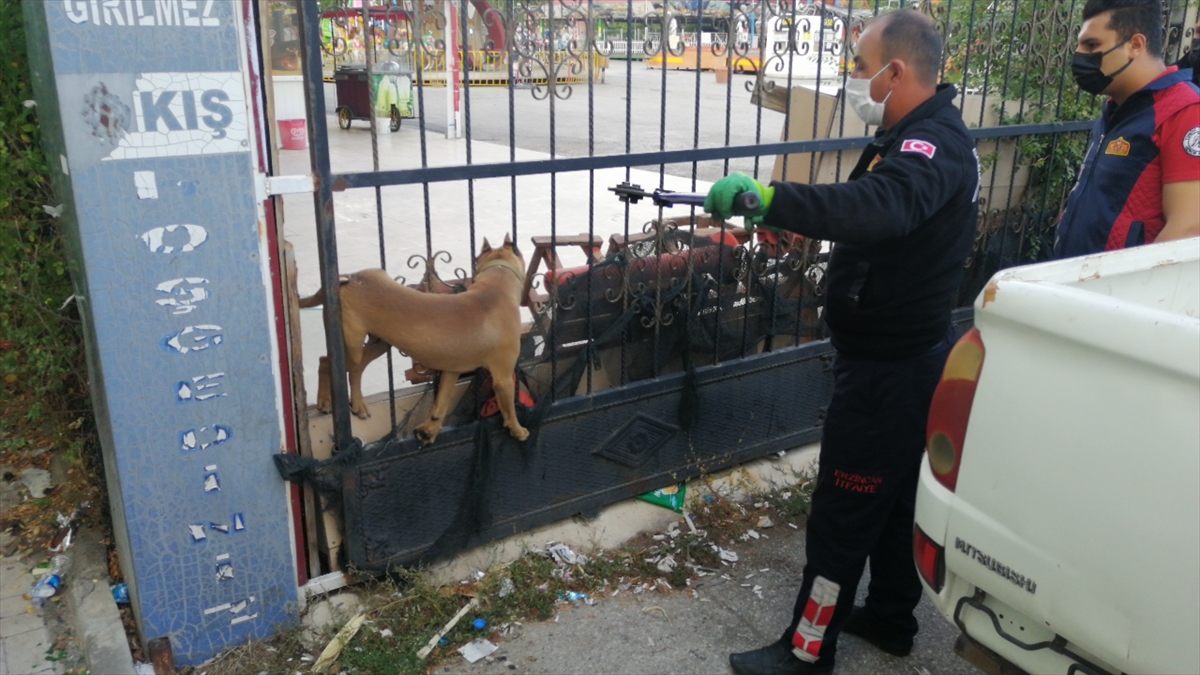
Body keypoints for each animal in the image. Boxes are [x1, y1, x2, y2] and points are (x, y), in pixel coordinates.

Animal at [297, 234, 528, 444]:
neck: (498, 280)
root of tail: (349, 278)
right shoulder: (503, 378)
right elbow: (509, 409)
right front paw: (517, 429)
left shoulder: (451, 370)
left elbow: (441, 403)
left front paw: (429, 430)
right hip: (351, 343)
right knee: (345, 368)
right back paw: (347, 403)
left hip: (379, 343)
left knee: (339, 364)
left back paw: (338, 402)